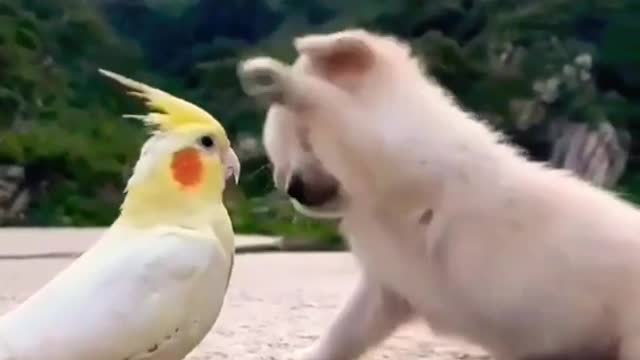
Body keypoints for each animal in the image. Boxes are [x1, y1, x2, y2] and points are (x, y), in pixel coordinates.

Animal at [239, 28, 640, 360]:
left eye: (305, 137)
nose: (291, 188)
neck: (371, 206)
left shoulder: (387, 157)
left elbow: (331, 109)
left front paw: (278, 79)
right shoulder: (386, 290)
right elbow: (342, 333)